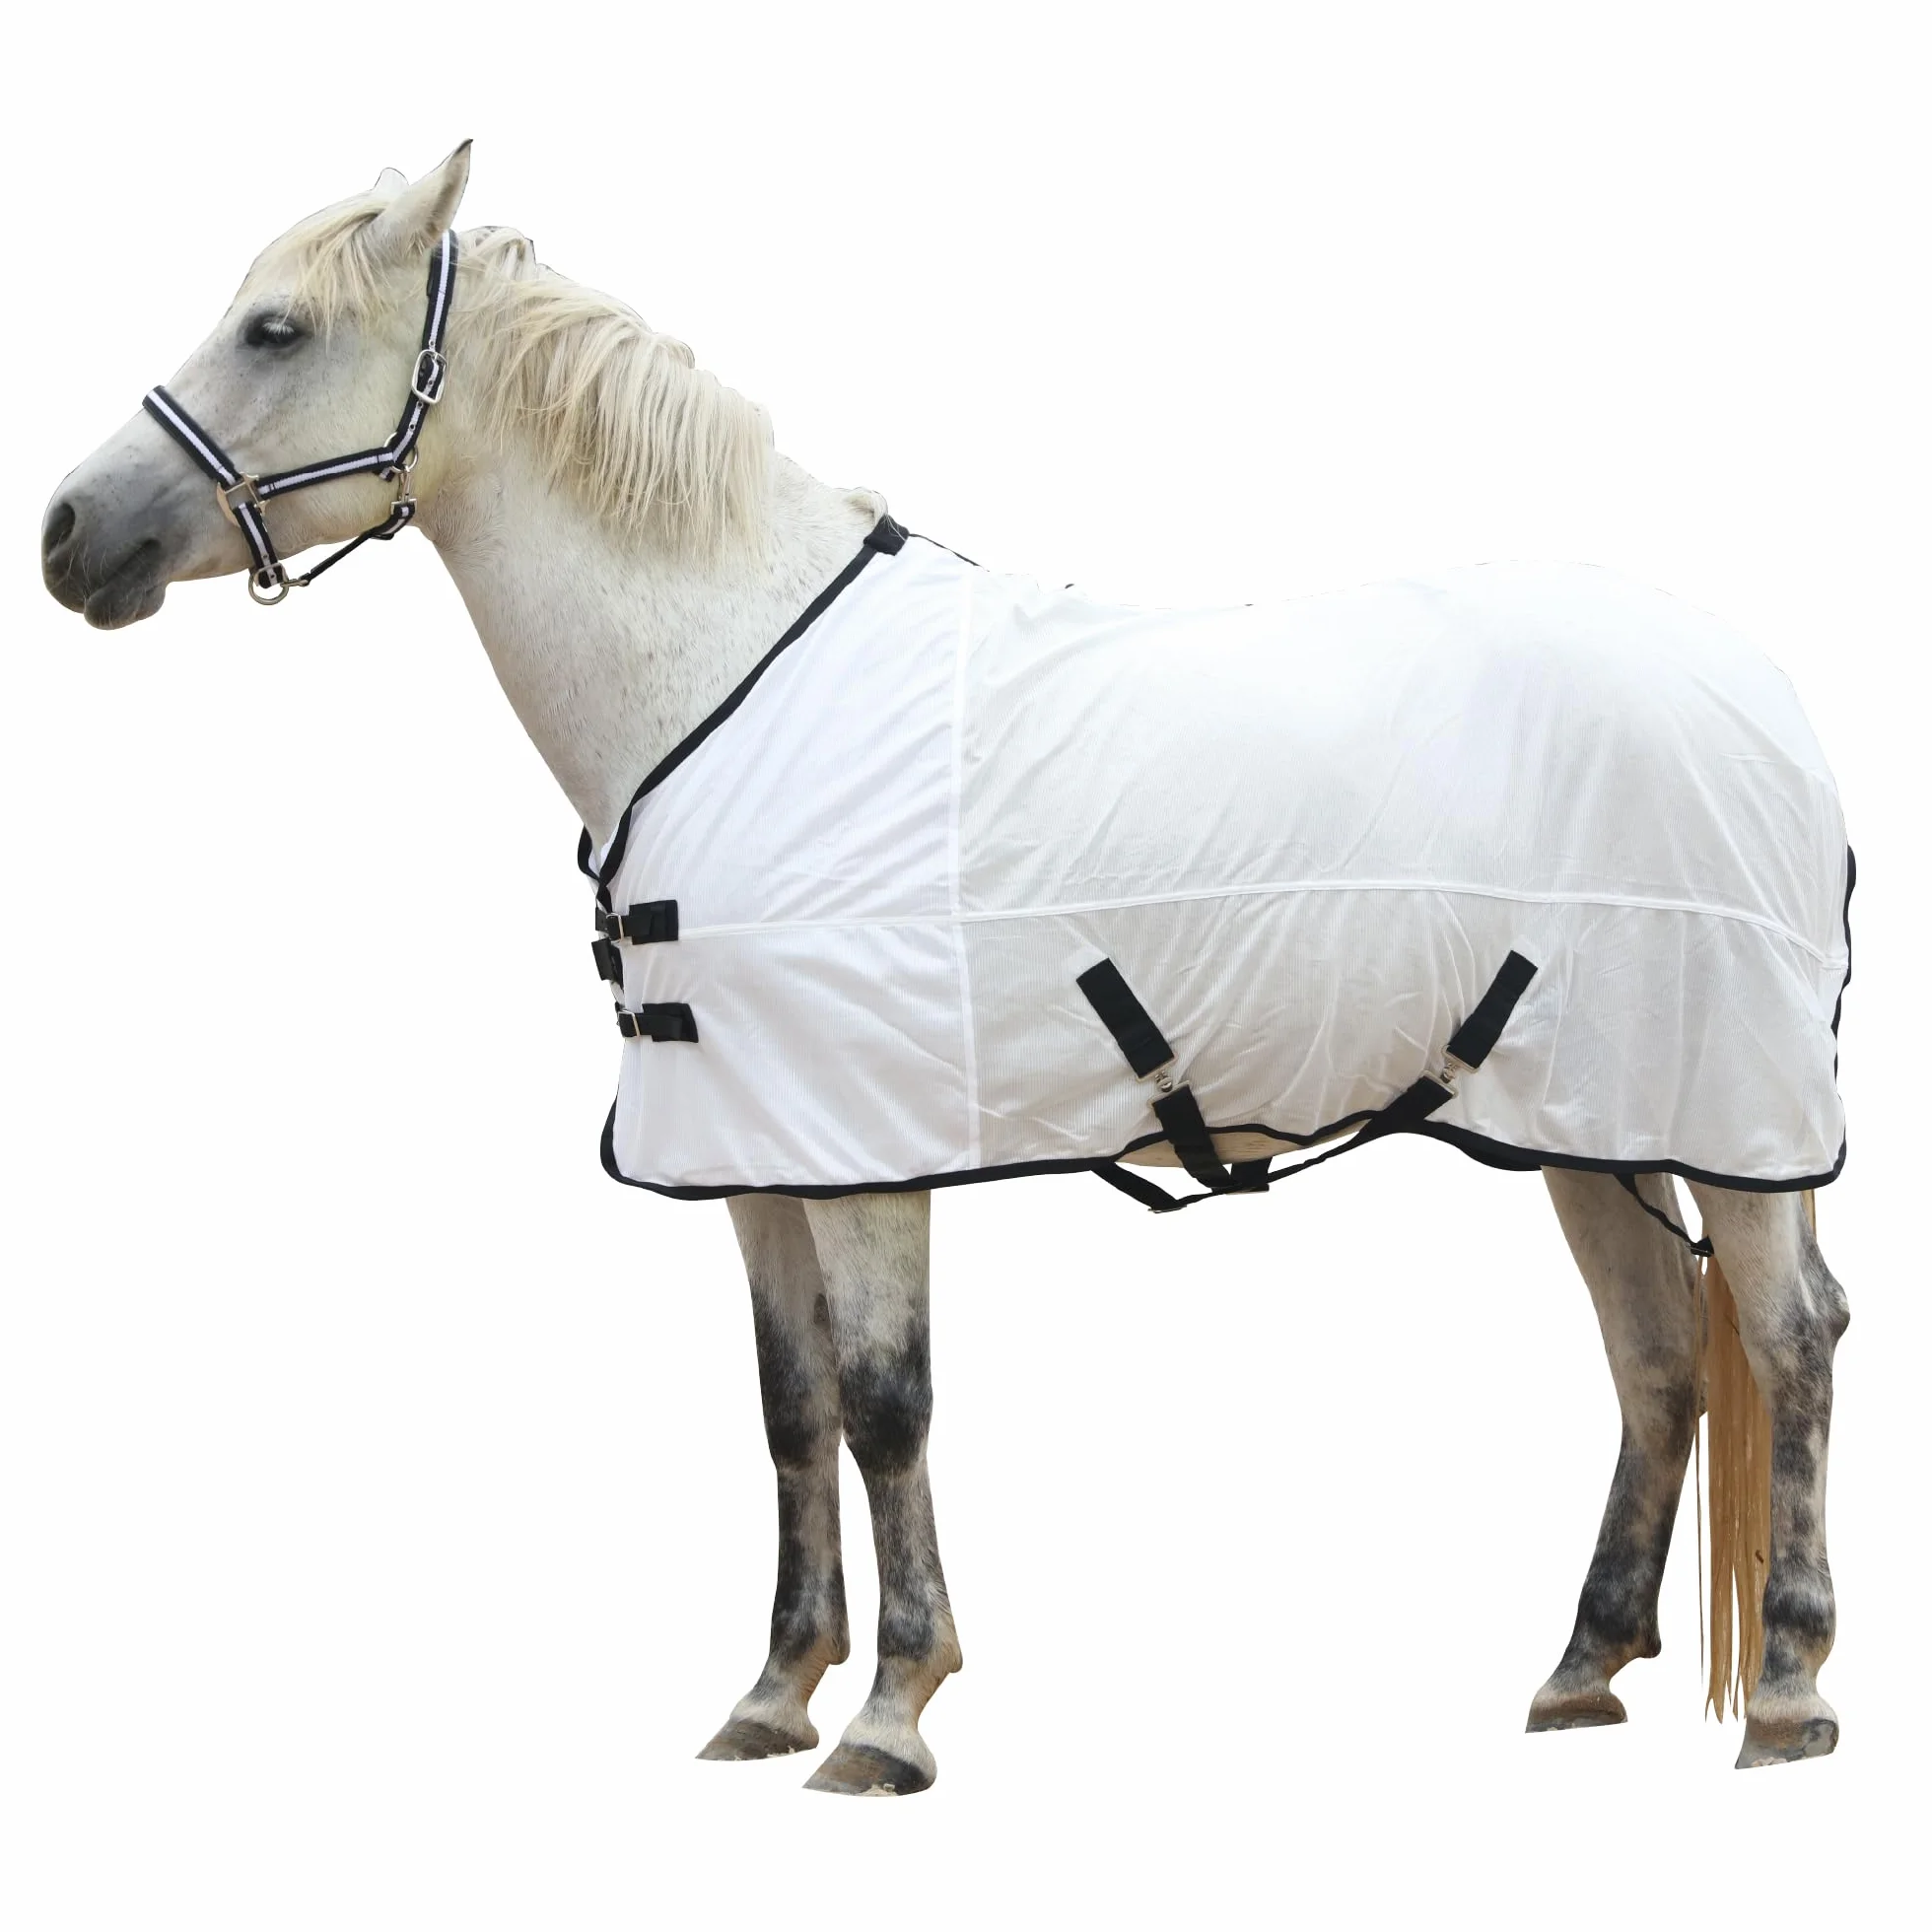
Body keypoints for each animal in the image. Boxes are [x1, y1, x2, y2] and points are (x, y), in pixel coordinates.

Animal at [40, 144, 1851, 1794]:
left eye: (274, 329)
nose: (68, 535)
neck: (727, 669)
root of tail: (1765, 698)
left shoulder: (865, 1150)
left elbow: (886, 1402)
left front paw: (891, 1714)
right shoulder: (757, 1150)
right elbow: (792, 1411)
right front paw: (773, 1696)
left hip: (1733, 1130)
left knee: (1790, 1344)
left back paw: (1789, 1694)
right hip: (1589, 1125)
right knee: (1658, 1358)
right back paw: (1583, 1669)